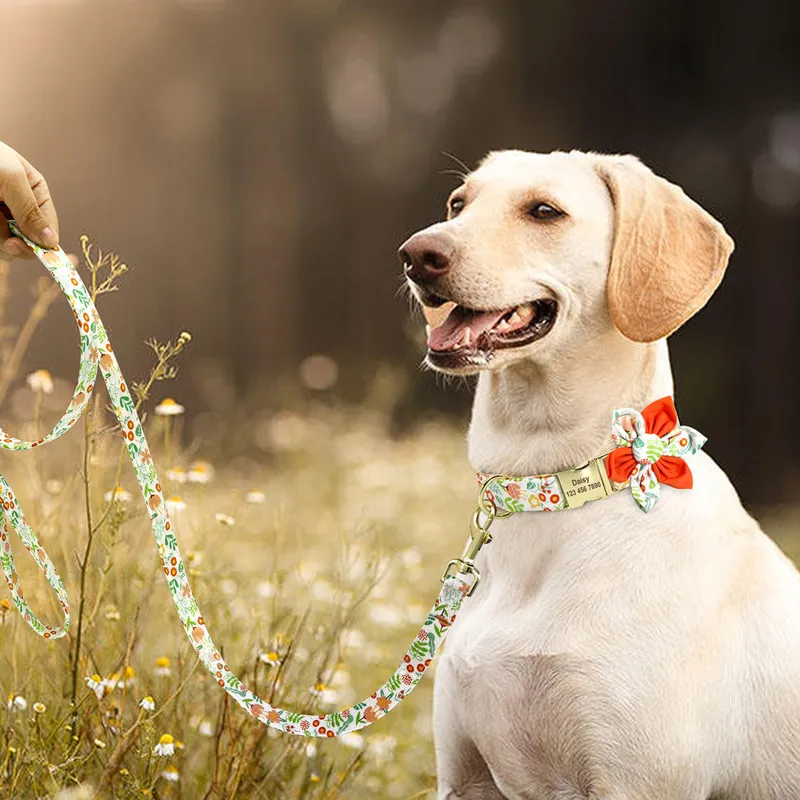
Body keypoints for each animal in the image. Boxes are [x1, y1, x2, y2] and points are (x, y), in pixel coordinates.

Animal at [404, 152, 800, 800]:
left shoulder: (638, 782)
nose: (415, 254)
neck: (550, 488)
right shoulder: (465, 778)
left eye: (544, 211)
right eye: (458, 204)